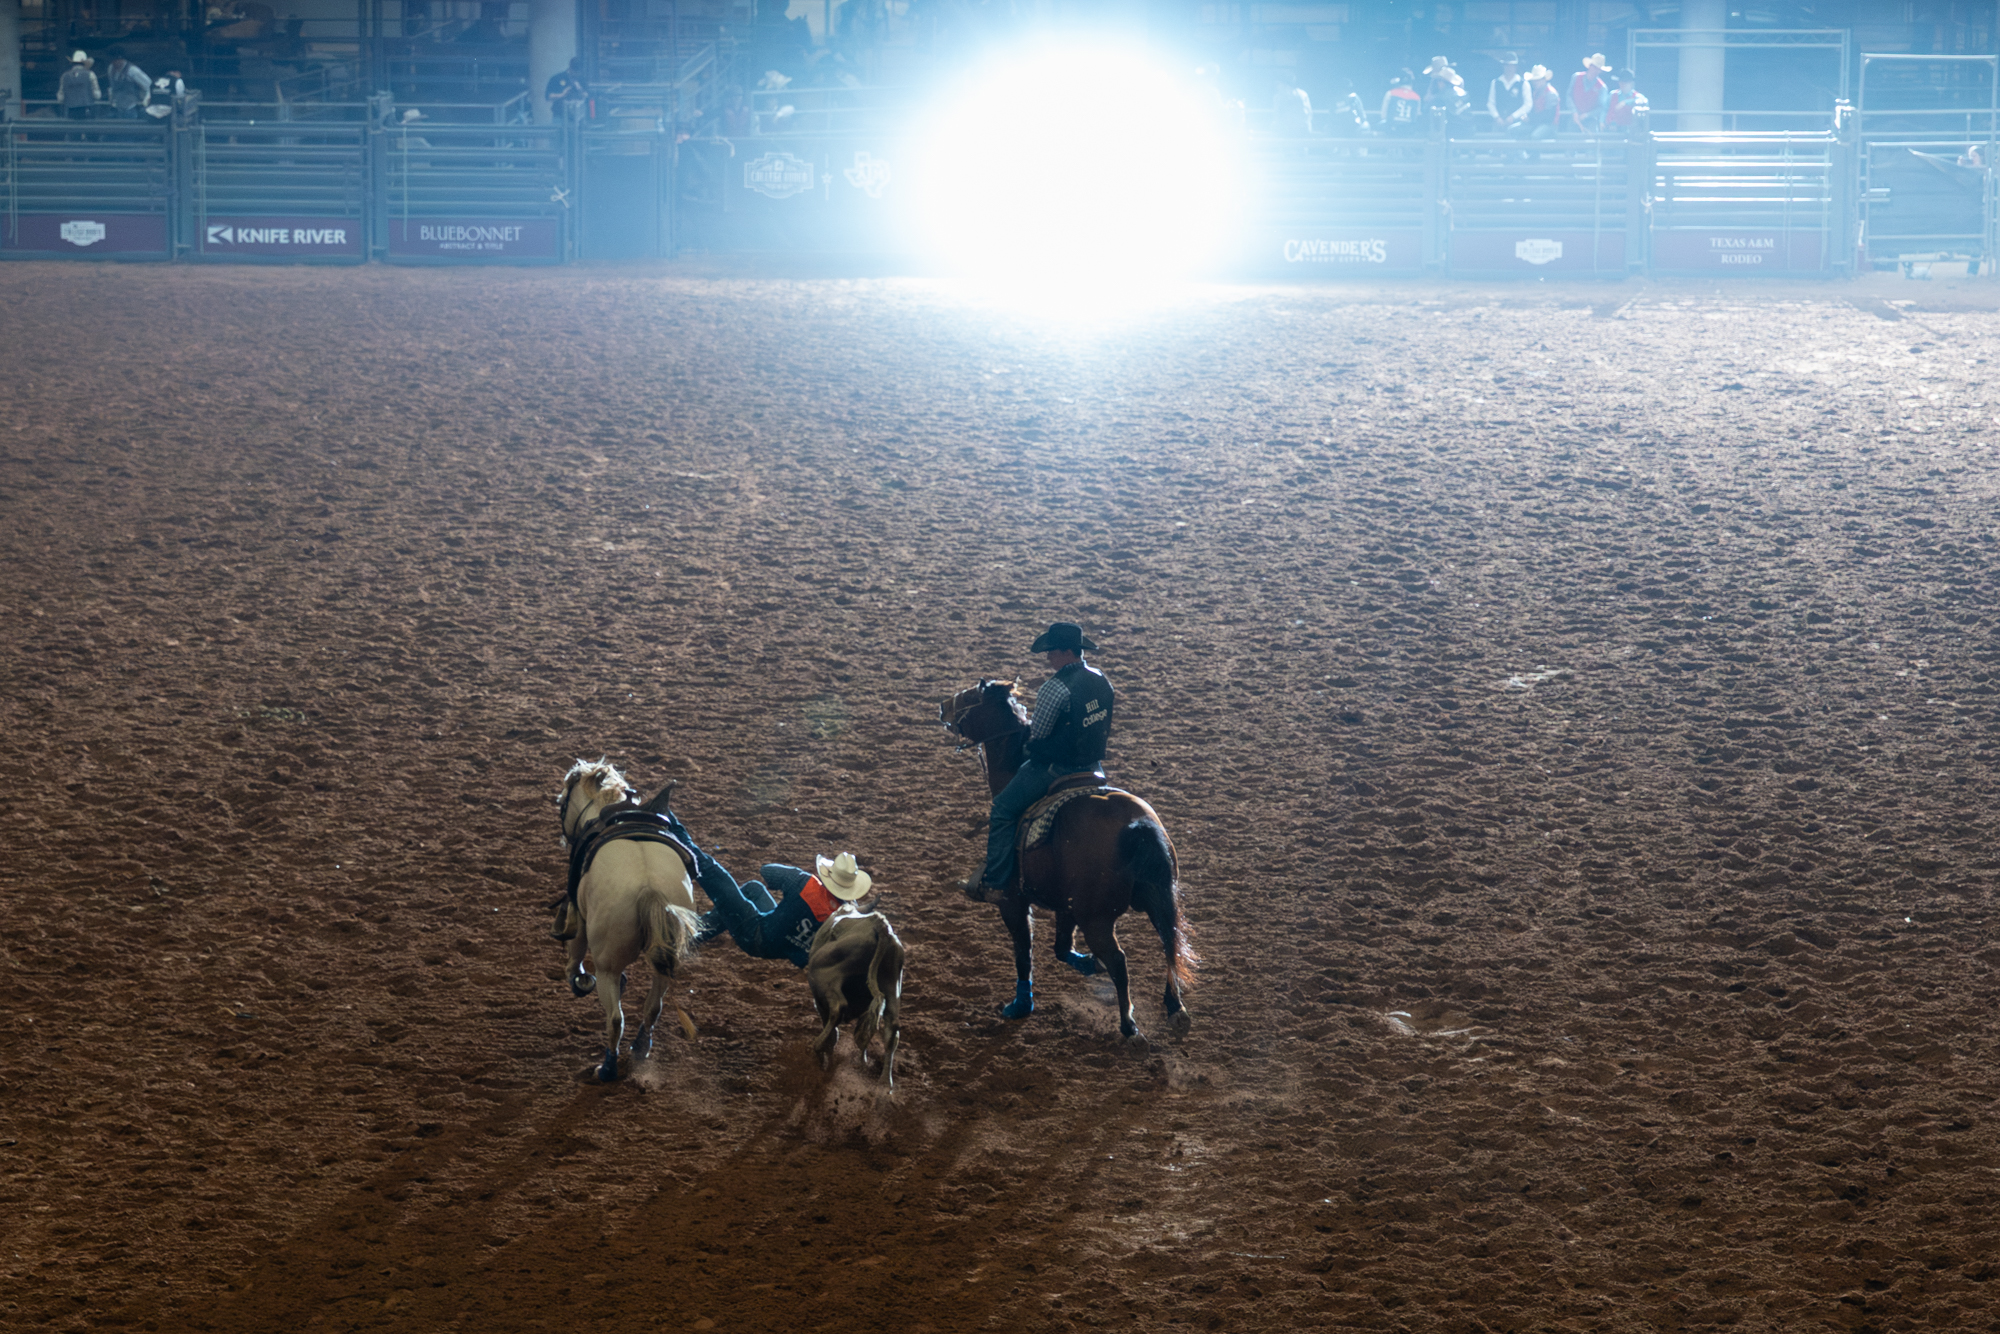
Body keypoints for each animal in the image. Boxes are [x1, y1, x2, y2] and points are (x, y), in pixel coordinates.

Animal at [556, 760, 704, 1088]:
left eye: (562, 803)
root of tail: (649, 887)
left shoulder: (579, 915)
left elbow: (575, 953)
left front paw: (577, 979)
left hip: (608, 966)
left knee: (615, 1018)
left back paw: (607, 1069)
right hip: (665, 960)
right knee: (653, 1007)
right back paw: (640, 1047)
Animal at [932, 680, 1192, 1040]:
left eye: (972, 696)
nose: (943, 706)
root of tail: (1136, 826)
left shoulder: (1013, 902)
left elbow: (1024, 954)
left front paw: (1021, 1005)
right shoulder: (1067, 907)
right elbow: (1061, 948)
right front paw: (1088, 963)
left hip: (1097, 918)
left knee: (1120, 960)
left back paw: (1128, 1025)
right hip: (1159, 897)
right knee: (1169, 943)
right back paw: (1174, 1007)